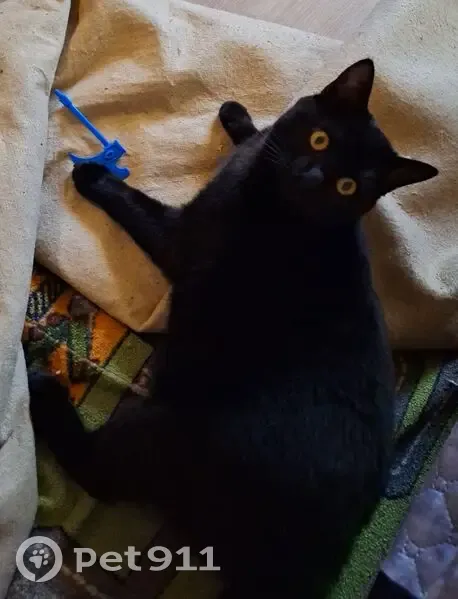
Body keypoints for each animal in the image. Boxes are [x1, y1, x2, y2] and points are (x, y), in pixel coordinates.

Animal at [29, 59, 437, 599]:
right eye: (320, 139)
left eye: (347, 187)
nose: (309, 176)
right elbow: (263, 134)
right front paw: (239, 117)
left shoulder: (180, 237)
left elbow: (137, 207)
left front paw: (94, 176)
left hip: (168, 429)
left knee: (99, 474)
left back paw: (42, 390)